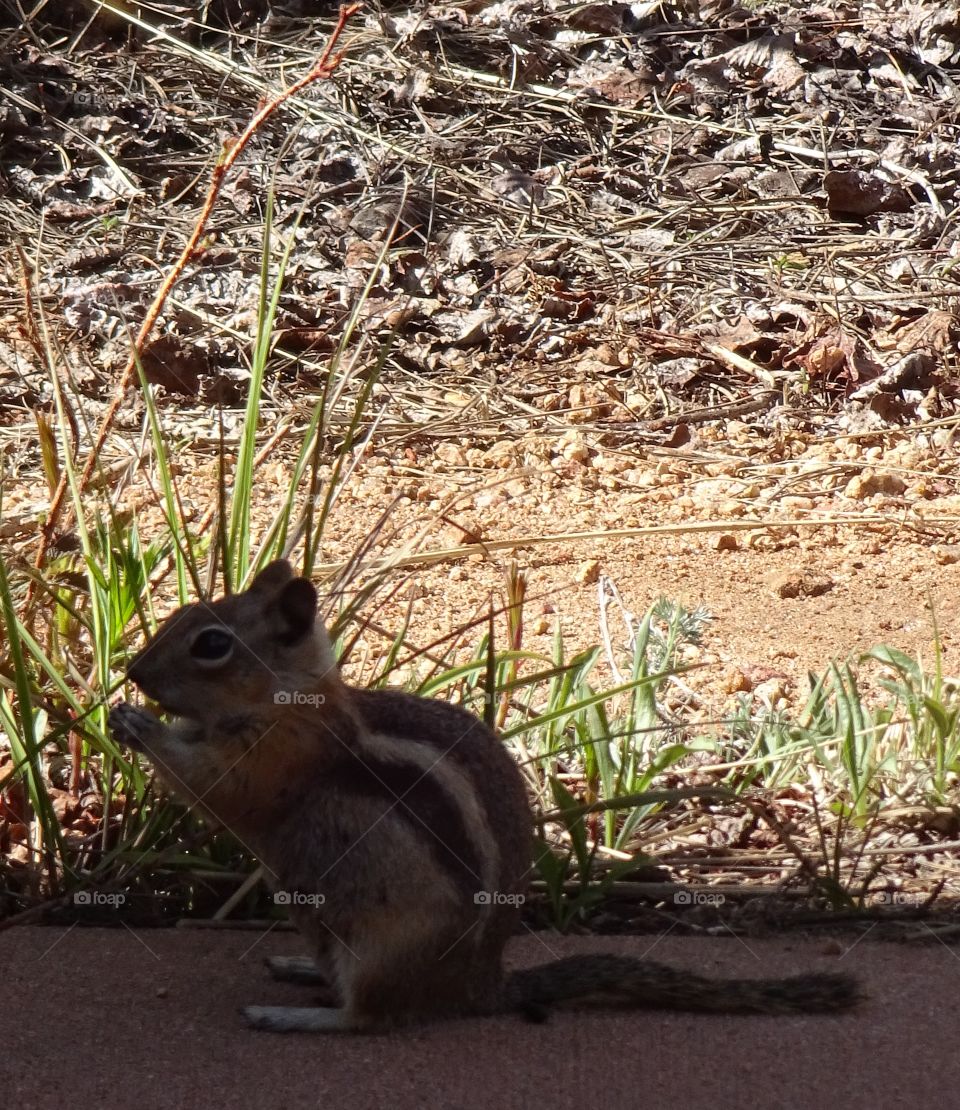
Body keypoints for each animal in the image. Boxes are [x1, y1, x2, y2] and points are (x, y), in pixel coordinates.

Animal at [110, 559, 861, 1034]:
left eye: (212, 645)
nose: (134, 671)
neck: (291, 700)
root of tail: (482, 986)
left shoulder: (273, 760)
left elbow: (220, 789)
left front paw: (138, 724)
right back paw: (298, 970)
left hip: (381, 946)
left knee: (371, 1018)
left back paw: (294, 1015)